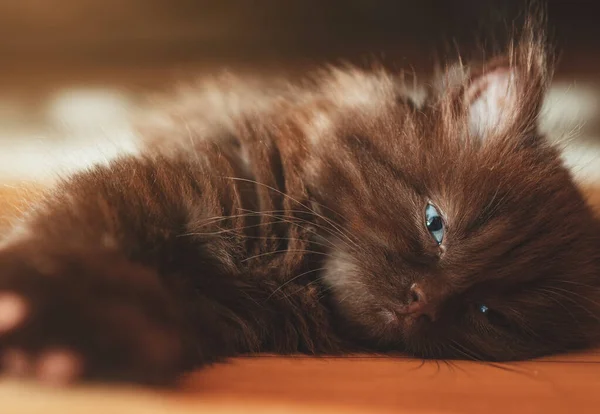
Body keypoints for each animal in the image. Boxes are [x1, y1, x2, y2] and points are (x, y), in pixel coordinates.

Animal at [1, 15, 600, 384]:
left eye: (489, 313)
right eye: (436, 224)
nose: (423, 300)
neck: (281, 266)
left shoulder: (217, 306)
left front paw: (80, 346)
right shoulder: (170, 189)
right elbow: (78, 234)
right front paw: (40, 310)